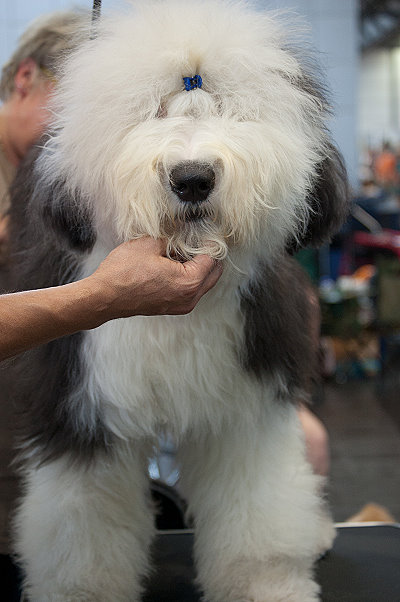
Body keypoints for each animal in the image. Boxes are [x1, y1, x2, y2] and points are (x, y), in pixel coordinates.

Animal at [9, 1, 348, 600]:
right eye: (154, 111)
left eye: (234, 111)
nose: (192, 178)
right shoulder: (80, 403)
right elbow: (82, 530)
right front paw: (81, 591)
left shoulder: (247, 399)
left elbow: (258, 509)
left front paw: (268, 584)